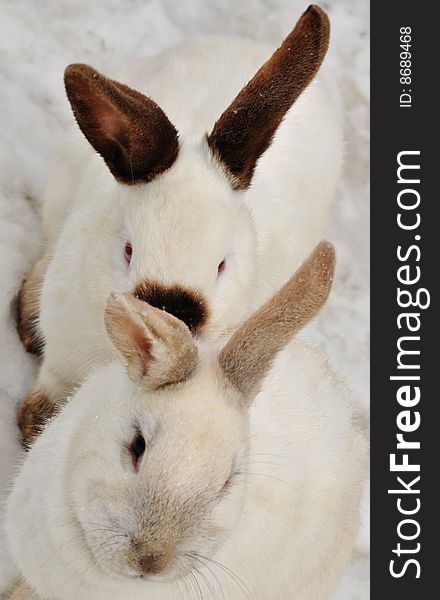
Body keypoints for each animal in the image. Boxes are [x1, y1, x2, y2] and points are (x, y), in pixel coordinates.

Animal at [17, 4, 344, 448]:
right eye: (128, 250)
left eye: (222, 265)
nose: (171, 313)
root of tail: (243, 43)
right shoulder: (63, 352)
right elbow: (53, 387)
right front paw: (34, 423)